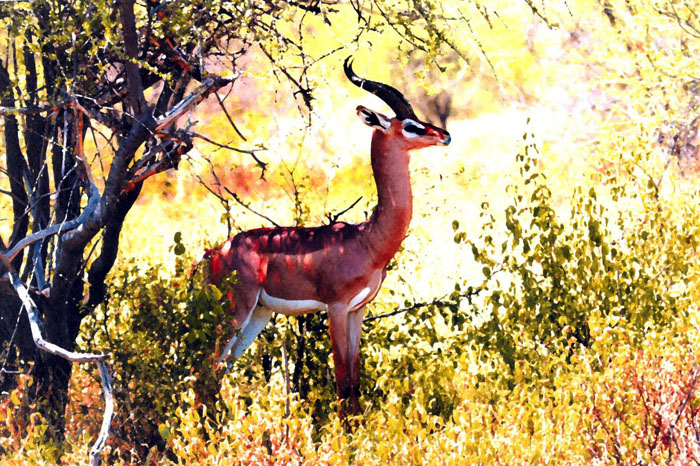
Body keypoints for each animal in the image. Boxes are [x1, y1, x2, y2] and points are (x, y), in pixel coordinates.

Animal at [203, 57, 451, 420]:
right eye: (410, 125)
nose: (445, 135)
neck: (366, 240)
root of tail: (215, 253)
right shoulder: (335, 308)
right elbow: (342, 381)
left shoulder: (358, 310)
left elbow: (356, 381)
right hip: (233, 312)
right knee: (203, 373)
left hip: (256, 317)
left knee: (217, 375)